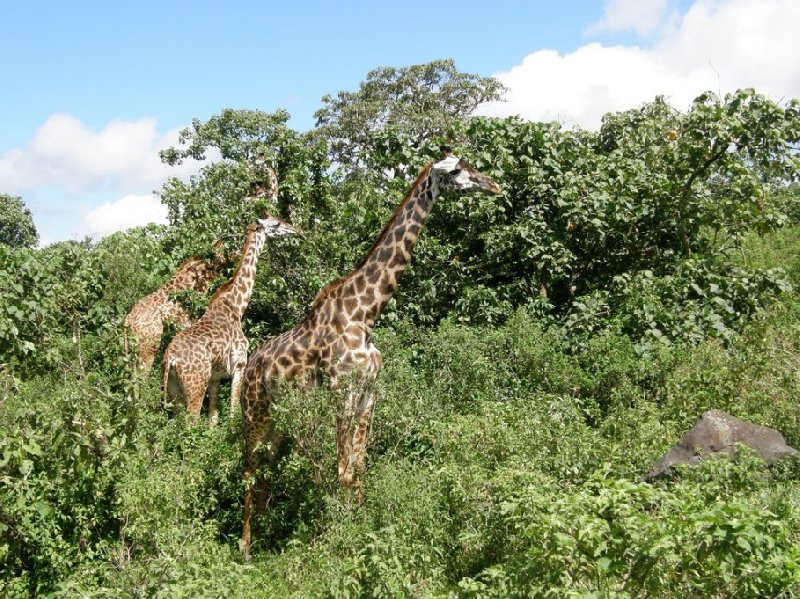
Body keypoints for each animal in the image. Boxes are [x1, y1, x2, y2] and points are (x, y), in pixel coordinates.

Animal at [162, 216, 300, 426]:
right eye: (276, 224)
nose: (296, 230)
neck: (236, 307)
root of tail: (170, 358)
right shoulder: (239, 365)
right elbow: (234, 412)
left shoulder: (215, 378)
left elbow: (213, 419)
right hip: (195, 384)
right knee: (191, 422)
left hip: (173, 387)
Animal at [238, 148, 500, 556]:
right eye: (458, 171)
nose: (494, 186)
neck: (365, 314)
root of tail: (250, 366)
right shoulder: (341, 393)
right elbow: (343, 471)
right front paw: (339, 541)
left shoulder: (368, 395)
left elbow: (359, 467)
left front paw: (361, 532)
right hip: (255, 412)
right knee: (249, 468)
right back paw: (246, 547)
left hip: (280, 419)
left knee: (266, 466)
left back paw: (266, 537)